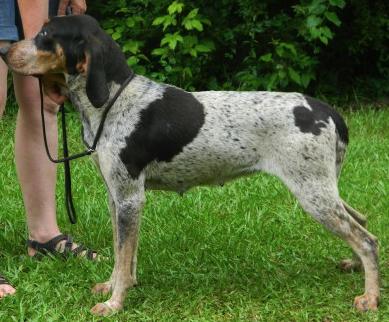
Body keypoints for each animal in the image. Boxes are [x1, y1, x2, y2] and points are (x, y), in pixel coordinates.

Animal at [0, 14, 376, 314]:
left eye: (45, 34)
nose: (5, 52)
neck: (114, 100)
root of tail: (328, 111)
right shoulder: (118, 197)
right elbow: (124, 256)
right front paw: (115, 287)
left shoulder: (129, 198)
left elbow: (123, 254)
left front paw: (114, 303)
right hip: (322, 189)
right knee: (362, 222)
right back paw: (355, 268)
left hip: (313, 193)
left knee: (367, 240)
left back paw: (370, 298)